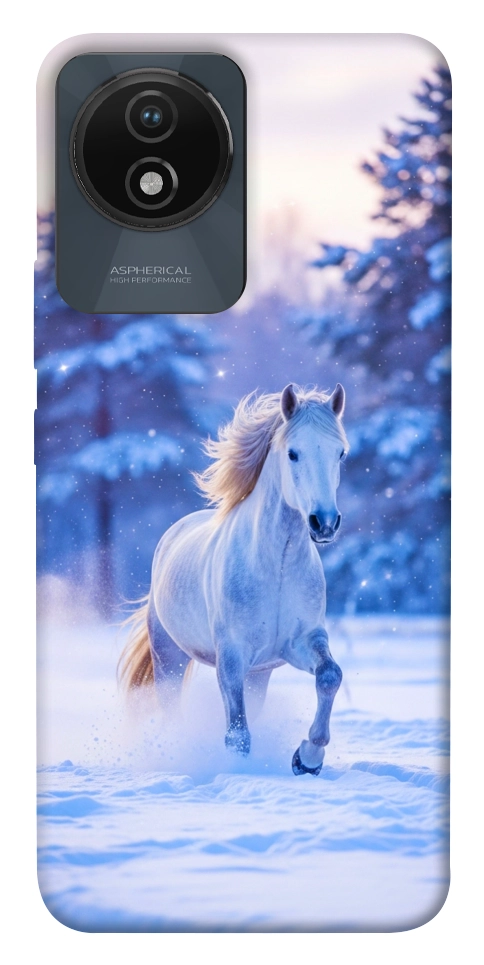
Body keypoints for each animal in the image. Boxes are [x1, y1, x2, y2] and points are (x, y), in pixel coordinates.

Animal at [119, 382, 348, 775]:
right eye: (293, 453)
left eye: (340, 454)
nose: (324, 523)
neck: (276, 567)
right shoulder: (231, 656)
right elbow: (237, 734)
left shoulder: (301, 642)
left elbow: (330, 676)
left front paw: (307, 758)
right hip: (169, 658)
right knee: (171, 709)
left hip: (259, 674)